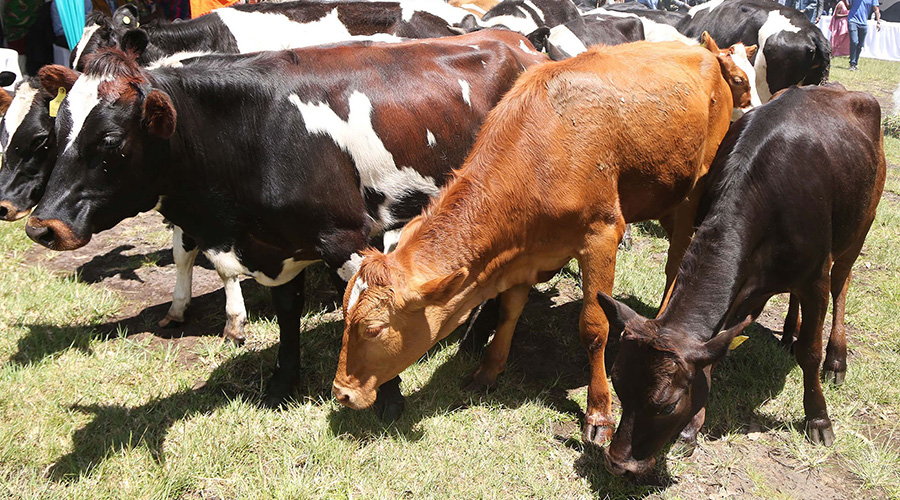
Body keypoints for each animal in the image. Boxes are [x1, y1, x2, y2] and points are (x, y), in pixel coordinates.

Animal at [28, 32, 544, 414]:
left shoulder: (345, 238)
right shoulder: (277, 247)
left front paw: (389, 399)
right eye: (54, 133)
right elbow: (287, 313)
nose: (42, 227)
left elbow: (370, 310)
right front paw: (282, 383)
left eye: (111, 142)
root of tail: (517, 41)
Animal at [334, 41, 736, 444]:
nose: (341, 392)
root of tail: (703, 51)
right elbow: (509, 312)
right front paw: (488, 371)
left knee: (676, 260)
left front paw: (599, 412)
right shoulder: (523, 256)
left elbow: (594, 328)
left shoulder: (602, 235)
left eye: (373, 328)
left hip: (694, 188)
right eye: (345, 316)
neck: (541, 155)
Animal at [596, 84, 884, 478]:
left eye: (667, 405)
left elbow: (810, 353)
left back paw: (836, 360)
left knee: (842, 284)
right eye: (619, 387)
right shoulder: (743, 289)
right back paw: (789, 333)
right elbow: (714, 354)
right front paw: (691, 430)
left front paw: (819, 419)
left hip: (859, 226)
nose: (617, 464)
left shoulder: (814, 279)